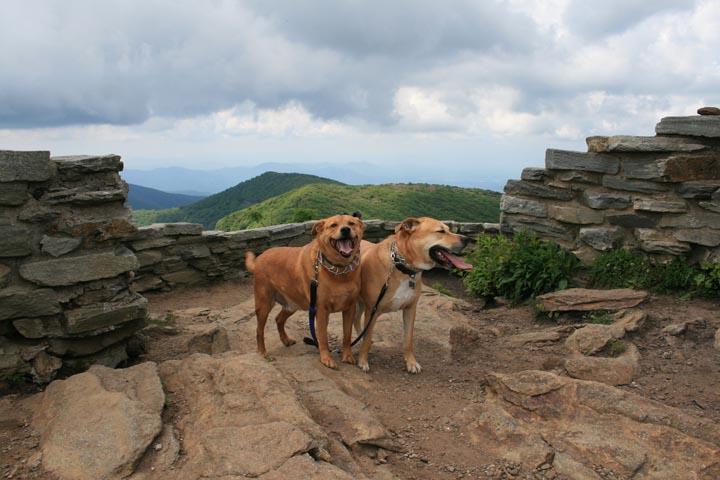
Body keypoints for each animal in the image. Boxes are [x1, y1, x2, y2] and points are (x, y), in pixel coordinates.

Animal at [245, 214, 366, 368]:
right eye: (333, 225)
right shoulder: (321, 311)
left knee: (278, 319)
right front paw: (326, 358)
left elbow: (347, 335)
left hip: (291, 304)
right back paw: (262, 352)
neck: (339, 271)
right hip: (264, 305)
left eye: (351, 223)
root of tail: (259, 259)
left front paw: (347, 355)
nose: (345, 230)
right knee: (259, 330)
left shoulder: (349, 308)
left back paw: (285, 340)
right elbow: (322, 336)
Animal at [354, 218, 472, 376]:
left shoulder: (410, 309)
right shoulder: (373, 310)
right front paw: (363, 360)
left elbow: (408, 340)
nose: (467, 239)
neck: (402, 267)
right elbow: (367, 338)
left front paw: (411, 362)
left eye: (449, 229)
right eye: (440, 231)